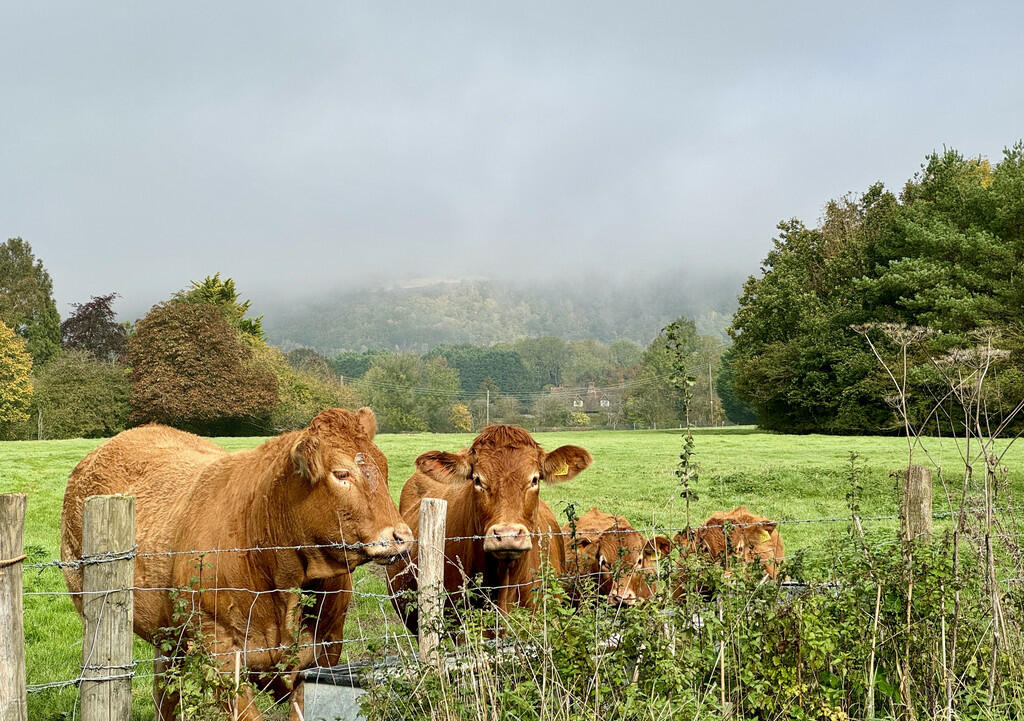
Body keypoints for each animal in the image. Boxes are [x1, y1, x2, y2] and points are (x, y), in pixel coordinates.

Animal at [60, 407, 412, 721]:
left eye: (384, 468)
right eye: (341, 473)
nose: (402, 535)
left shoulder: (324, 650)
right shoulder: (219, 651)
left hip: (169, 635)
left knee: (165, 692)